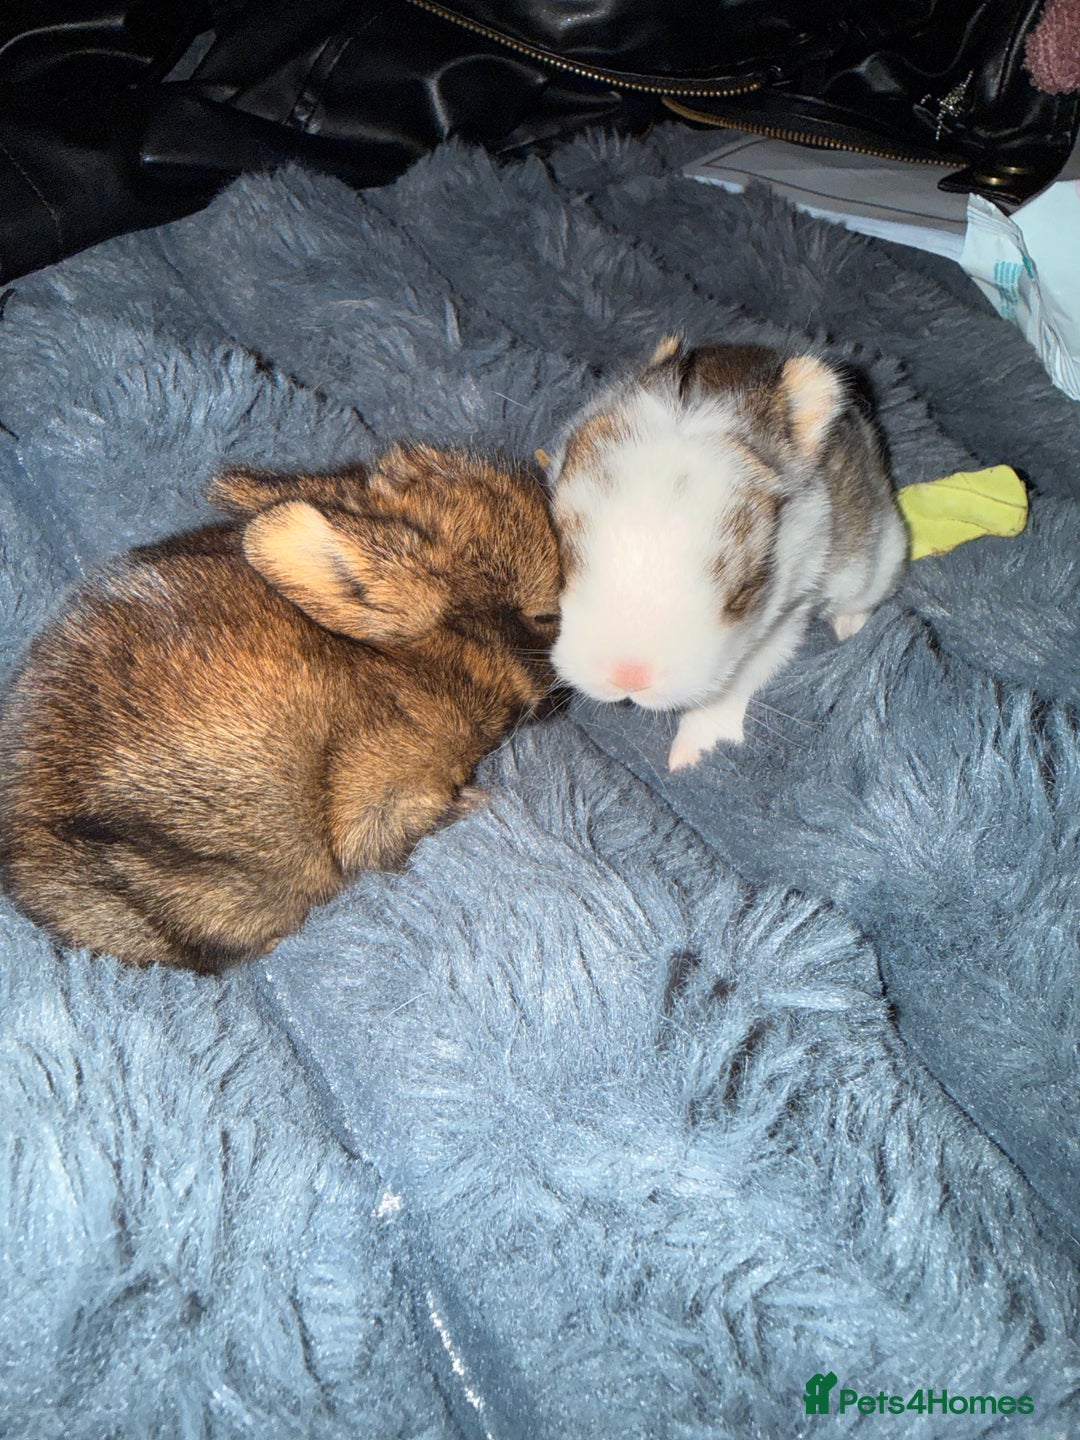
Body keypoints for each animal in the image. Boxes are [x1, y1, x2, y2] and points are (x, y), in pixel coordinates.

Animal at [545, 336, 908, 771]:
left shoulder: (782, 622)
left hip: (872, 565)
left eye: (745, 590)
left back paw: (850, 629)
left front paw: (690, 758)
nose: (629, 677)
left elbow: (731, 689)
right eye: (563, 556)